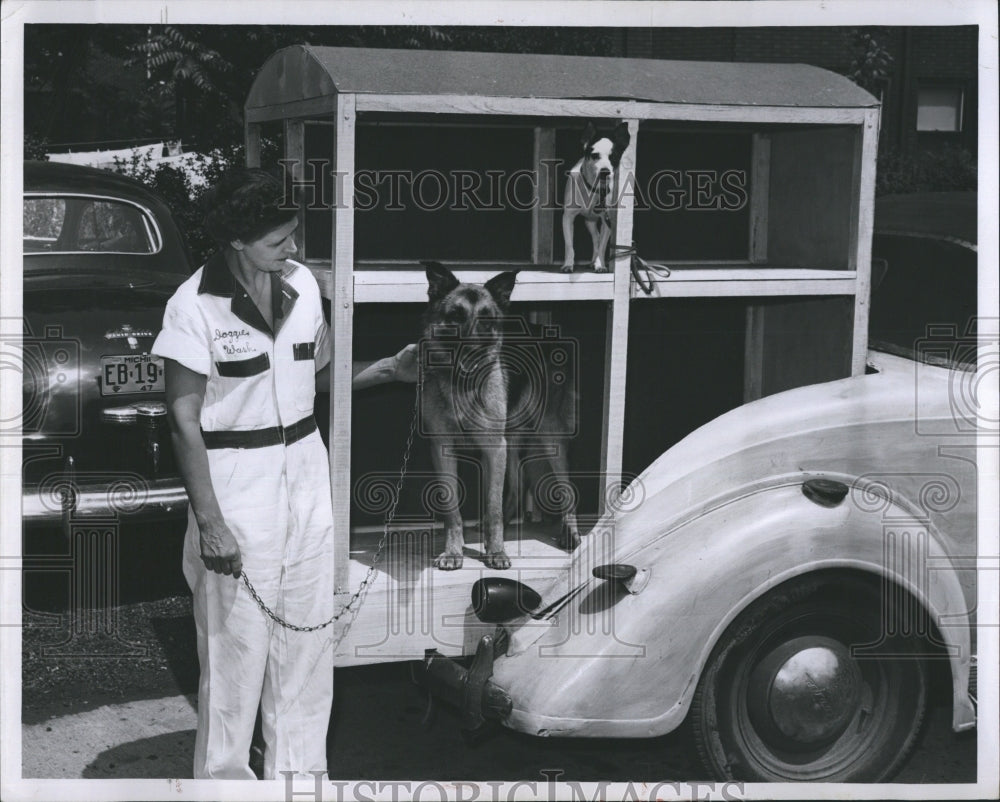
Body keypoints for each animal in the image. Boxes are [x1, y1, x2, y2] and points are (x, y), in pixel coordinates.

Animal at [420, 262, 580, 568]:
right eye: (455, 316)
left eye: (486, 320)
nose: (473, 350)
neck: (463, 387)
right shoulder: (444, 449)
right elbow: (452, 509)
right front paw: (454, 551)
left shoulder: (494, 447)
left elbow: (493, 505)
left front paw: (496, 551)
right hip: (513, 438)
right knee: (518, 485)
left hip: (549, 435)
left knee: (566, 486)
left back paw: (570, 533)